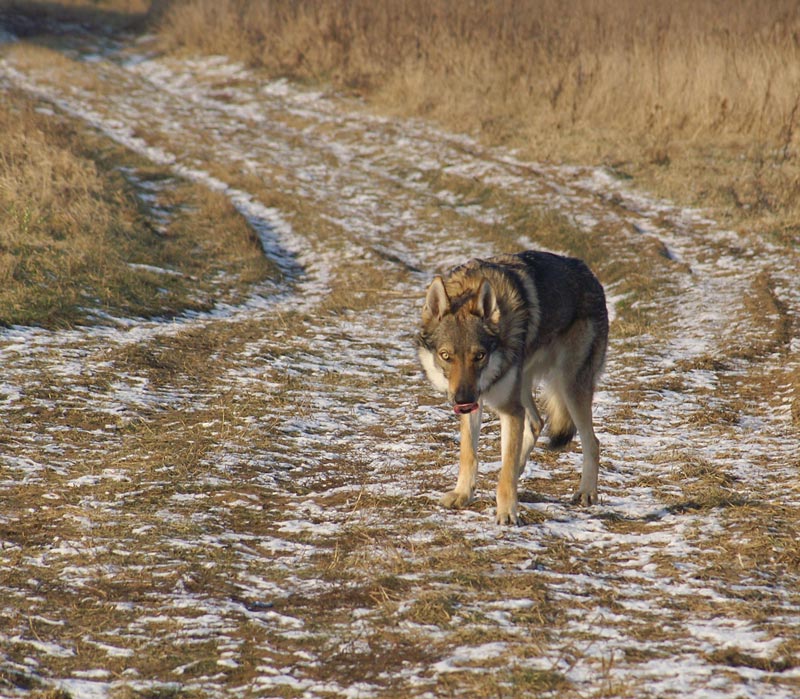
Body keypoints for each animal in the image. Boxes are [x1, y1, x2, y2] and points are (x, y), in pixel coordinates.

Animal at [416, 250, 608, 525]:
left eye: (479, 356)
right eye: (446, 356)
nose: (462, 400)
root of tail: (589, 273)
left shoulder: (507, 408)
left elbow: (505, 470)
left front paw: (507, 513)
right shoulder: (478, 401)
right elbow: (469, 454)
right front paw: (463, 494)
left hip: (570, 386)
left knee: (592, 441)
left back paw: (586, 492)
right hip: (524, 387)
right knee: (536, 422)